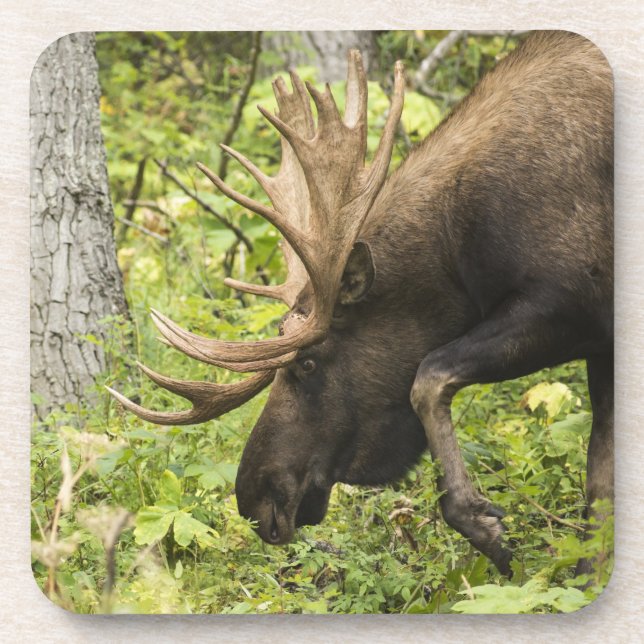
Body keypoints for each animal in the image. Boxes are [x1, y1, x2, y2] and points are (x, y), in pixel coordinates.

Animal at [108, 31, 613, 576]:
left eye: (307, 363)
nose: (255, 499)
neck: (462, 249)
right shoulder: (596, 340)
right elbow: (599, 481)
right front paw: (584, 578)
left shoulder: (572, 303)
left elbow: (429, 377)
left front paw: (487, 527)